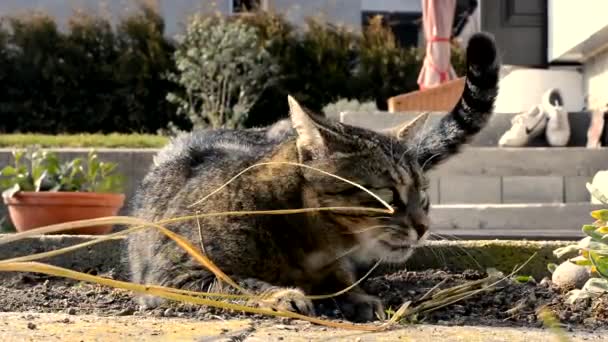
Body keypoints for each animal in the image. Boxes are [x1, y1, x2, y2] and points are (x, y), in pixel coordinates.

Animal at [127, 31, 498, 320]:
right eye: (387, 194)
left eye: (423, 195)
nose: (423, 227)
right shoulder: (173, 274)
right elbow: (235, 281)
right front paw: (282, 294)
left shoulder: (339, 265)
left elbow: (344, 280)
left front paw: (358, 297)